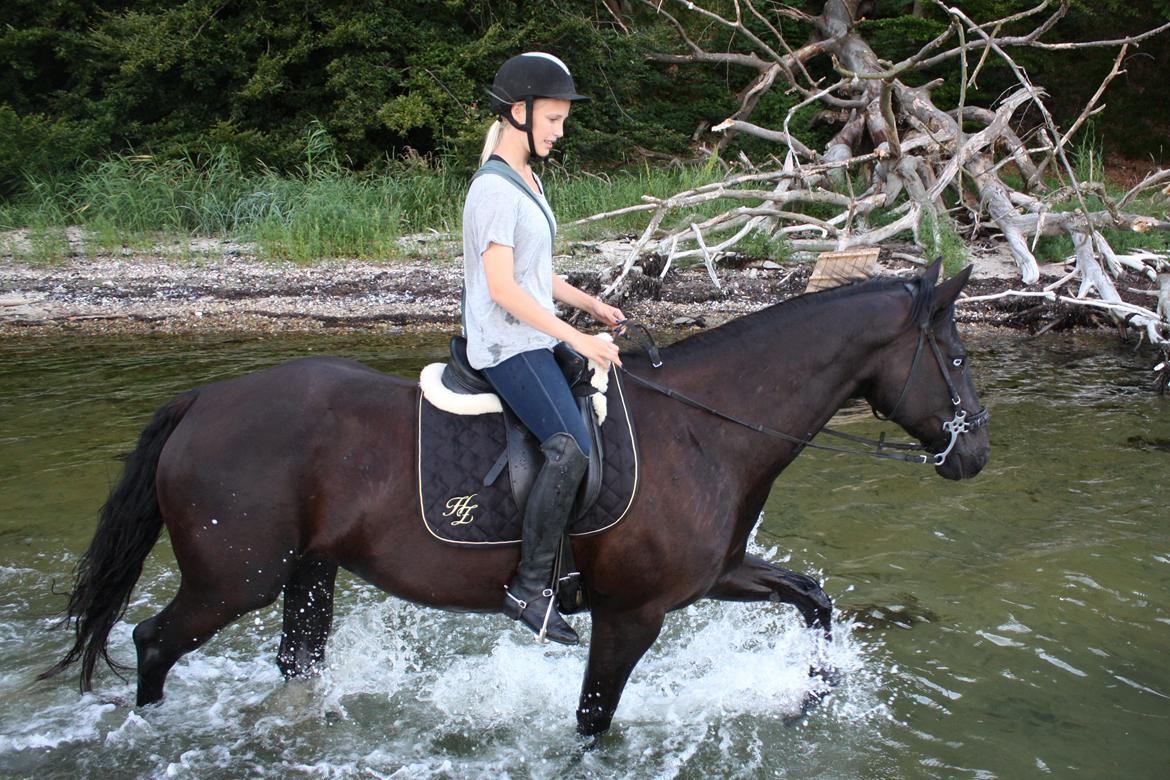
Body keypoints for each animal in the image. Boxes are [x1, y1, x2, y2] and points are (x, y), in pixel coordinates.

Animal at [43, 261, 987, 739]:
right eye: (957, 355)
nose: (974, 453)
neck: (705, 431)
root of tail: (204, 399)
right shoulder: (632, 614)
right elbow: (594, 720)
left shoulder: (709, 578)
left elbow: (815, 601)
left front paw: (811, 697)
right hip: (234, 579)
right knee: (153, 642)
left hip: (307, 574)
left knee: (292, 666)